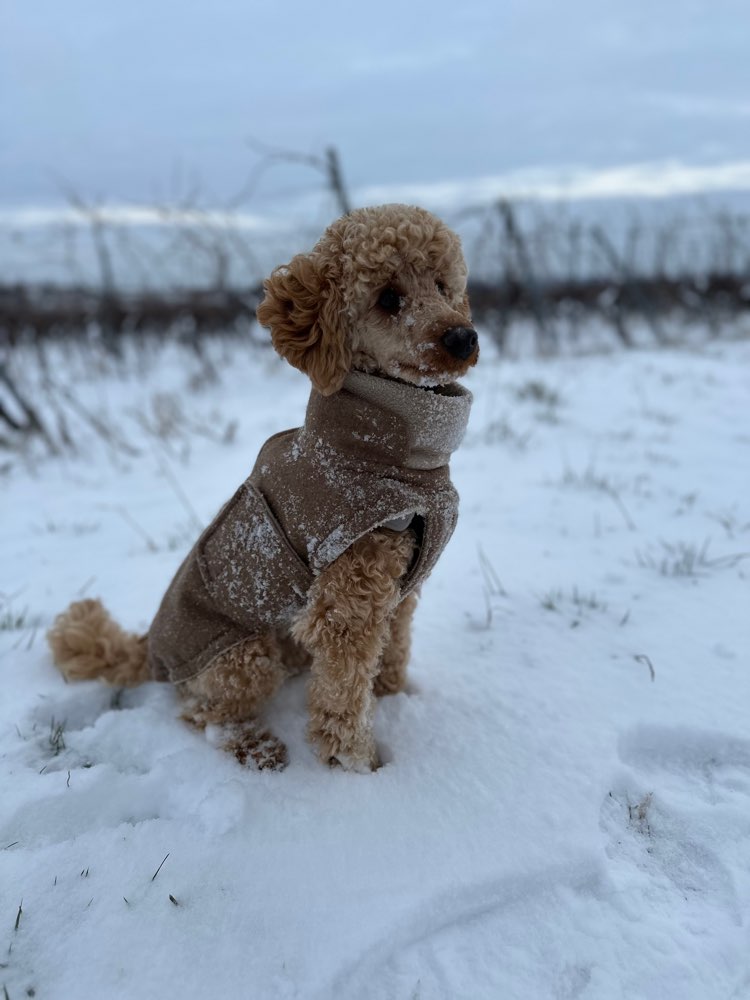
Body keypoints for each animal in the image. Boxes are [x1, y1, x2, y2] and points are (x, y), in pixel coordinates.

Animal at [48, 203, 482, 772]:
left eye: (443, 285)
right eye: (388, 298)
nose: (462, 338)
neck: (395, 457)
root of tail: (146, 648)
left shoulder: (399, 589)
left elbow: (394, 650)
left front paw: (394, 699)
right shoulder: (349, 601)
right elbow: (342, 692)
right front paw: (356, 763)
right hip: (243, 658)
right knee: (202, 715)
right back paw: (255, 747)